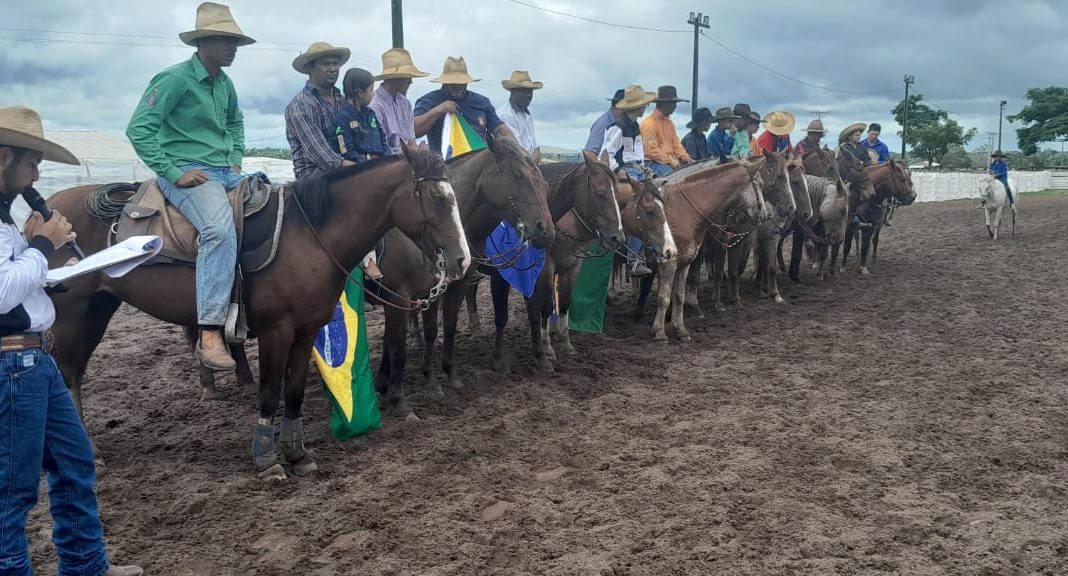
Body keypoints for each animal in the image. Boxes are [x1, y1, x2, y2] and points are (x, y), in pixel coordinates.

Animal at [46, 145, 471, 478]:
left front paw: (297, 454)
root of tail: (48, 208)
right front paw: (268, 459)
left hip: (97, 310)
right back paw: (89, 455)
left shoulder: (307, 329)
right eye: (436, 196)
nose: (461, 260)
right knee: (66, 375)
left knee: (74, 374)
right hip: (73, 316)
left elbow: (294, 391)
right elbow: (269, 392)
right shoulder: (276, 331)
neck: (307, 235)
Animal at [372, 136, 554, 418]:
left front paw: (442, 377)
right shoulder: (399, 298)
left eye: (544, 183)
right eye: (517, 175)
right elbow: (399, 344)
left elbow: (442, 328)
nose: (546, 231)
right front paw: (399, 396)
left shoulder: (445, 289)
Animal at [488, 154, 625, 375]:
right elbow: (544, 307)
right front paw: (547, 349)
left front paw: (566, 344)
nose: (617, 238)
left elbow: (564, 304)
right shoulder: (544, 270)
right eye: (600, 194)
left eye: (619, 196)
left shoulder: (572, 268)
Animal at [633, 160, 767, 342]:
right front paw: (660, 332)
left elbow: (678, 295)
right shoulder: (668, 262)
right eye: (759, 184)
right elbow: (664, 296)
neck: (684, 209)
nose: (765, 215)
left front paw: (679, 328)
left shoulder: (684, 260)